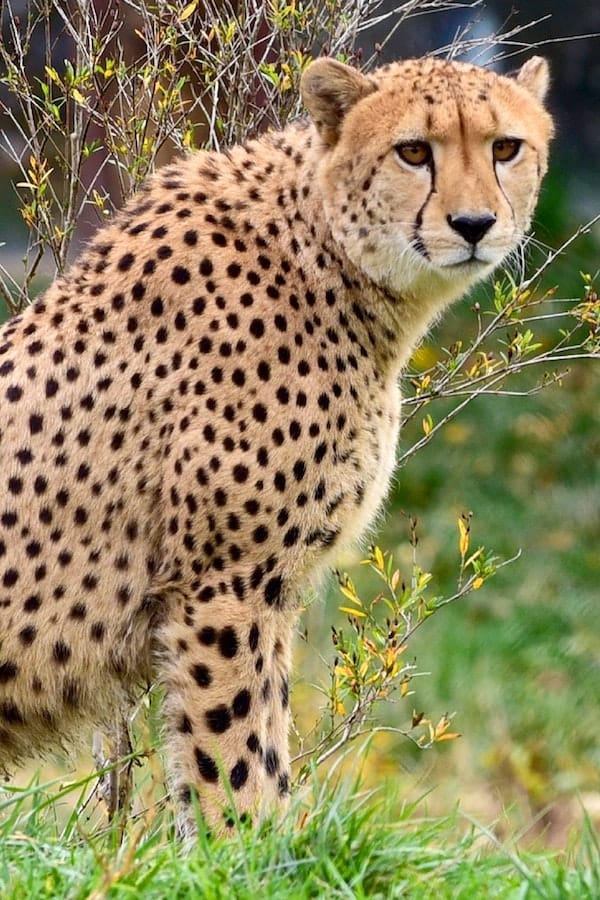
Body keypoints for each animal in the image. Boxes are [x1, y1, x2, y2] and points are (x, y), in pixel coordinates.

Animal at [0, 53, 553, 835]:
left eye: (506, 147)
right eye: (414, 151)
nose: (474, 224)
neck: (325, 251)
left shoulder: (264, 586)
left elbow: (260, 746)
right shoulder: (224, 584)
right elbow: (233, 758)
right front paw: (242, 848)